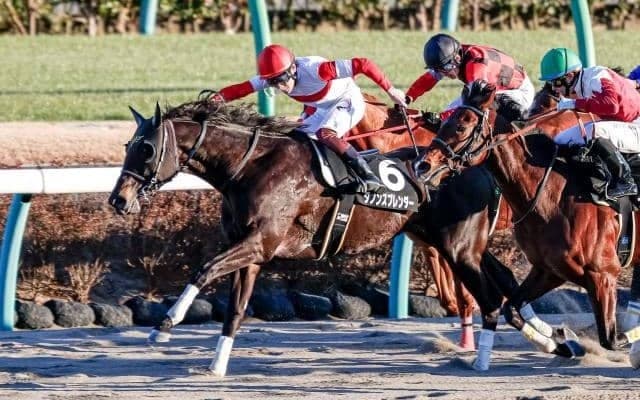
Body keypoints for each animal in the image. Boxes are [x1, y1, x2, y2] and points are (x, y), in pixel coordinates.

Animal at [108, 98, 524, 375]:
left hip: (459, 249)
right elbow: (235, 310)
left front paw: (163, 327)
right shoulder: (252, 252)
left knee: (490, 298)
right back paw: (536, 338)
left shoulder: (259, 242)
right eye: (129, 145)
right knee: (504, 282)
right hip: (460, 245)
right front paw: (216, 366)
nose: (118, 199)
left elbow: (204, 268)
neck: (251, 166)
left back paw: (484, 360)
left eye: (147, 149)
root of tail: (476, 165)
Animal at [418, 79, 640, 368]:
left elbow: (610, 339)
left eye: (461, 126)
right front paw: (562, 342)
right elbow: (511, 309)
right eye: (445, 122)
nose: (423, 165)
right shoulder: (549, 270)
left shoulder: (603, 274)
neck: (552, 196)